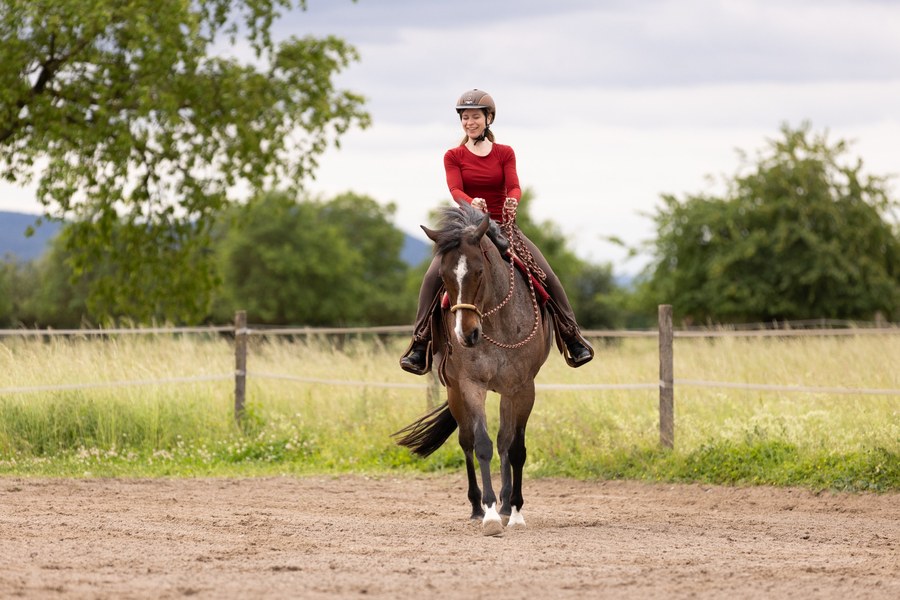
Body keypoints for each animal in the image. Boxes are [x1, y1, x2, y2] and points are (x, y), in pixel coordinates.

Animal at [393, 203, 553, 536]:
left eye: (479, 271)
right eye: (443, 276)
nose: (466, 334)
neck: (494, 321)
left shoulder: (522, 387)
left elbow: (515, 448)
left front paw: (514, 511)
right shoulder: (470, 385)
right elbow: (481, 445)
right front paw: (490, 515)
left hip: (505, 392)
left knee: (505, 441)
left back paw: (506, 505)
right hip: (455, 393)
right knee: (466, 441)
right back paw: (478, 508)